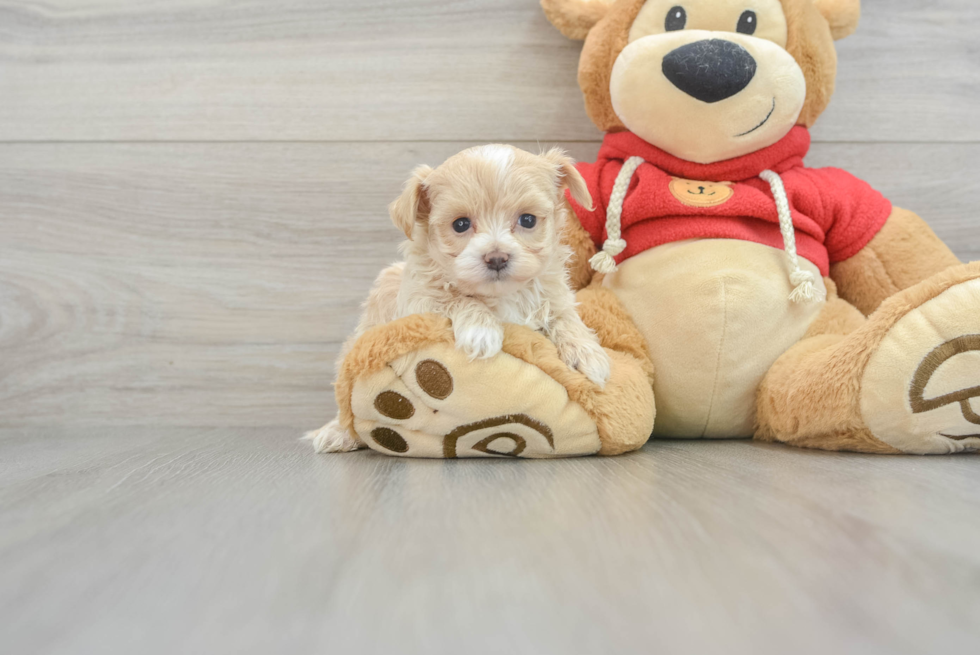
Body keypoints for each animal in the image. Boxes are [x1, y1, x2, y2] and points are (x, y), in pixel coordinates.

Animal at [310, 144, 608, 454]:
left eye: (528, 220)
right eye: (461, 224)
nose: (497, 257)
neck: (501, 295)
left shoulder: (556, 294)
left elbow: (565, 317)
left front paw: (587, 354)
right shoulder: (420, 301)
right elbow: (456, 298)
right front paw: (482, 331)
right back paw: (337, 433)